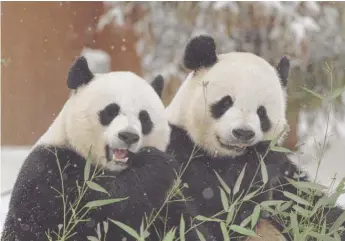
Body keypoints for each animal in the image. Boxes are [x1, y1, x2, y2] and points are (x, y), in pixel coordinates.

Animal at [2, 56, 179, 241]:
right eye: (111, 111)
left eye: (144, 118)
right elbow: (96, 209)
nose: (128, 136)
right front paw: (156, 163)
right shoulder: (50, 170)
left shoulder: (168, 201)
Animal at [162, 35, 344, 241]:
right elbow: (216, 210)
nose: (243, 133)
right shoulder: (180, 152)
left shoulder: (284, 178)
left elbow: (312, 209)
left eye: (262, 112)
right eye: (226, 102)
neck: (225, 158)